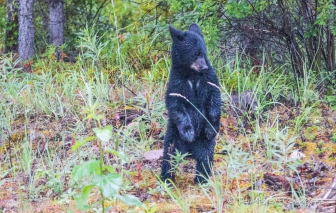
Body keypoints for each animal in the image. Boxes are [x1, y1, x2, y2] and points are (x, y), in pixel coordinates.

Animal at [161, 22, 222, 183]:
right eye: (195, 53)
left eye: (204, 53)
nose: (204, 66)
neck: (192, 74)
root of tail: (189, 152)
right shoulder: (176, 82)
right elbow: (176, 104)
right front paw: (188, 131)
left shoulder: (209, 78)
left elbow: (215, 96)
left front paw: (211, 126)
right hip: (173, 137)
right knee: (168, 158)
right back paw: (167, 179)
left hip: (205, 144)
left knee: (205, 158)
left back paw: (202, 179)